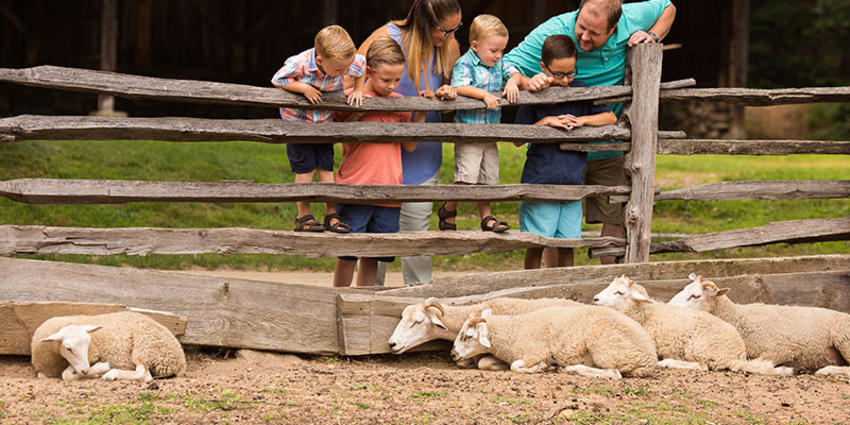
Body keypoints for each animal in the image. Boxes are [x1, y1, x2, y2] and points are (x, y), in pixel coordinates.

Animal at [32, 308, 188, 380]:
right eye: (68, 348)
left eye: (88, 343)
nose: (86, 370)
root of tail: (181, 360)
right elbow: (43, 375)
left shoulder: (91, 356)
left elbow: (66, 375)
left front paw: (101, 368)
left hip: (146, 345)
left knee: (143, 373)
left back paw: (111, 374)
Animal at [450, 304, 656, 378]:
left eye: (467, 336)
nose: (452, 354)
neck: (512, 331)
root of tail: (650, 357)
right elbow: (485, 363)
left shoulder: (535, 352)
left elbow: (515, 366)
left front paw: (542, 367)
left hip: (605, 347)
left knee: (613, 373)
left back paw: (571, 368)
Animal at [588, 274, 788, 374]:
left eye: (620, 292)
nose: (595, 298)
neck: (647, 314)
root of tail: (737, 355)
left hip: (699, 348)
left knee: (702, 366)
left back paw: (667, 362)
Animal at [664, 274, 848, 374]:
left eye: (696, 296)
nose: (668, 307)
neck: (738, 317)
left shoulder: (781, 350)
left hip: (843, 338)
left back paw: (826, 370)